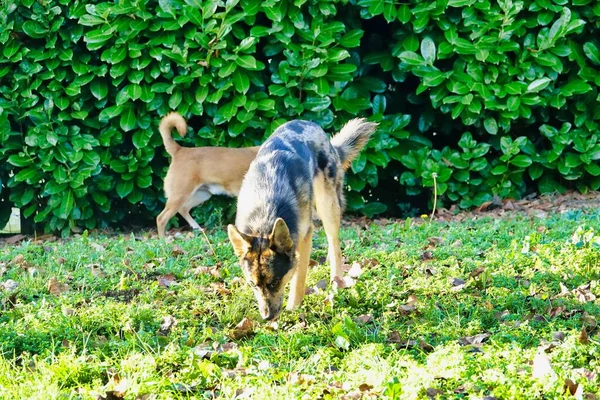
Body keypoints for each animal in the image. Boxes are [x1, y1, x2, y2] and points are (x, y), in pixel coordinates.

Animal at [227, 118, 378, 318]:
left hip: (328, 206)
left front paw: (293, 307)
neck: (266, 210)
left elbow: (299, 277)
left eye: (274, 282)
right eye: (253, 284)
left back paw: (336, 281)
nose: (267, 317)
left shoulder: (305, 235)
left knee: (335, 245)